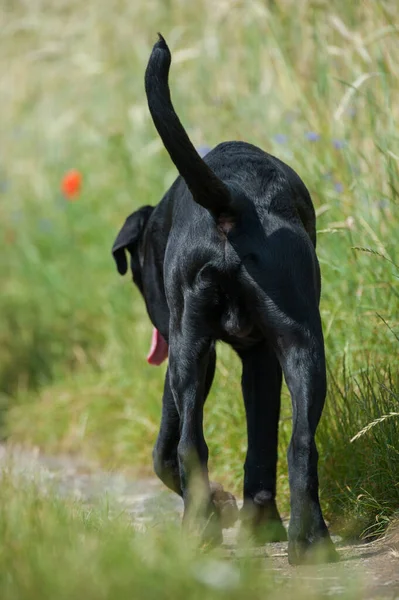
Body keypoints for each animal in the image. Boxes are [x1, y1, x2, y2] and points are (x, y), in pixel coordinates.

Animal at [114, 35, 340, 564]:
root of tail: (233, 202)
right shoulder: (256, 356)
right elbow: (259, 441)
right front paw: (255, 520)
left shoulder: (216, 351)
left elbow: (165, 449)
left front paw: (228, 509)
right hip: (299, 343)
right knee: (300, 441)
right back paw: (308, 541)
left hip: (194, 350)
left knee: (189, 445)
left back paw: (203, 531)